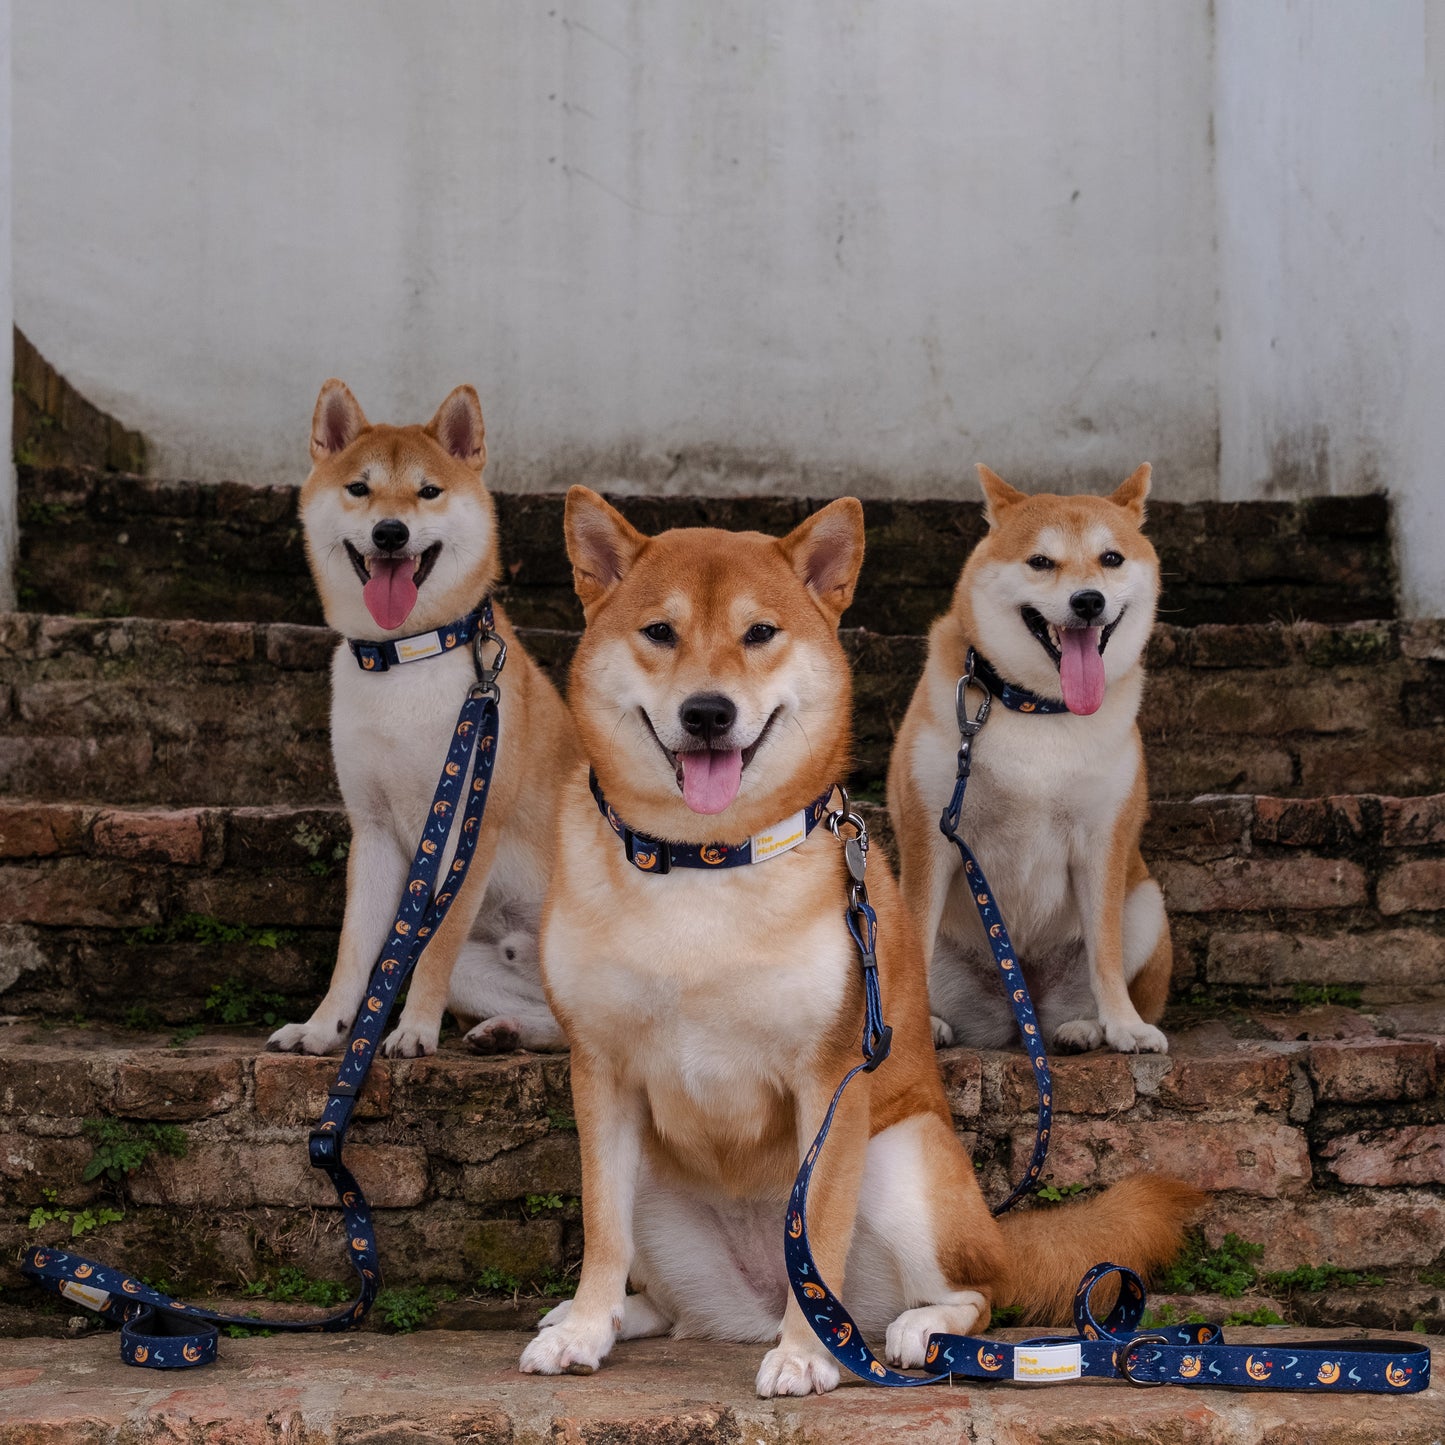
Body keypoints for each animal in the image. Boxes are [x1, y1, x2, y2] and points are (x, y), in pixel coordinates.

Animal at [265, 381, 575, 1063]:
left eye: (428, 491)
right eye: (359, 488)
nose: (390, 532)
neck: (406, 655)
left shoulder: (469, 831)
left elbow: (432, 947)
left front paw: (413, 1030)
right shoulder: (375, 830)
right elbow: (356, 953)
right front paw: (323, 1028)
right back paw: (503, 1032)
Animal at [884, 468, 1167, 1057]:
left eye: (1111, 558)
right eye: (1041, 561)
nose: (1088, 601)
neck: (1038, 707)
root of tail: (1022, 1011)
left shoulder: (1102, 840)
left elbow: (1105, 951)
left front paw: (1123, 1026)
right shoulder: (932, 836)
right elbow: (916, 937)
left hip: (1147, 903)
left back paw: (1084, 1028)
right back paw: (937, 1025)